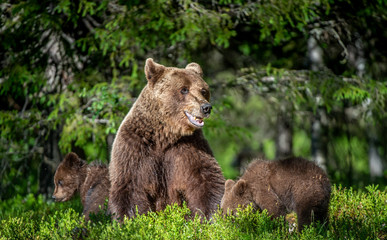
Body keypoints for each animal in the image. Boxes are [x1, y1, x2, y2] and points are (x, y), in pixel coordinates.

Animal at [108, 58, 224, 221]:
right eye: (184, 89)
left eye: (203, 90)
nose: (206, 107)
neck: (165, 135)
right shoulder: (135, 148)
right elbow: (129, 187)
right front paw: (130, 219)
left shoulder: (188, 147)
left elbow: (206, 179)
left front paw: (209, 216)